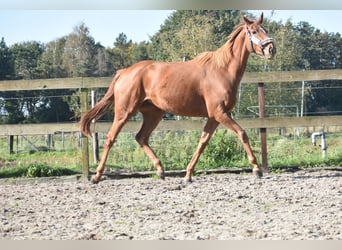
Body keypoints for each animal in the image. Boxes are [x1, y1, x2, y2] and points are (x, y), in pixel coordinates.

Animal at [81, 12, 276, 183]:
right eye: (253, 31)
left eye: (264, 28)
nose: (271, 49)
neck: (222, 70)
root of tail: (124, 72)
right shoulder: (220, 113)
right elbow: (242, 133)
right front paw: (257, 169)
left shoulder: (214, 117)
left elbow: (202, 142)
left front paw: (188, 174)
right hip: (124, 112)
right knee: (110, 138)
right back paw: (96, 176)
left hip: (153, 114)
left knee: (141, 137)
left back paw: (160, 170)